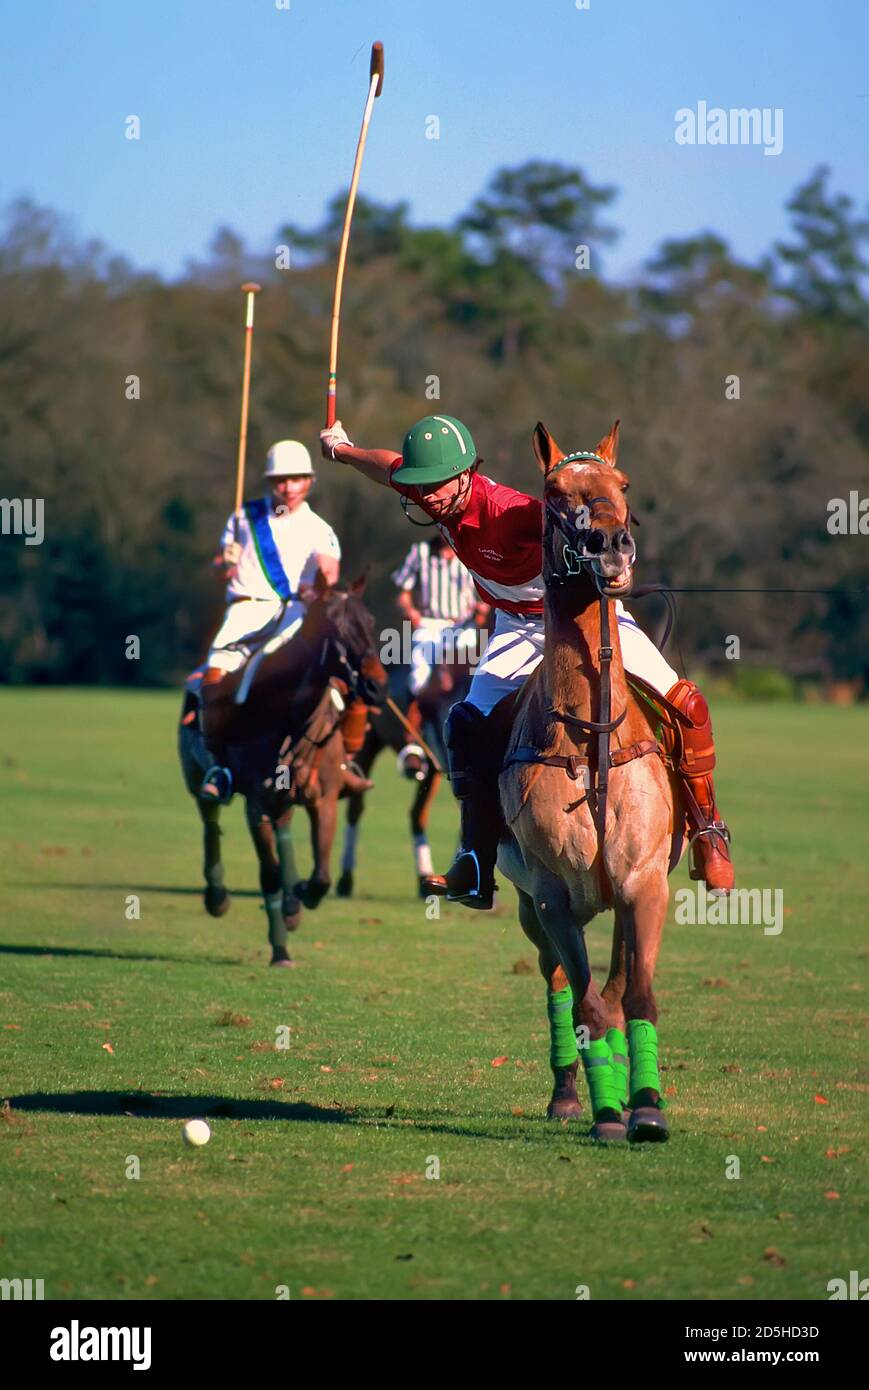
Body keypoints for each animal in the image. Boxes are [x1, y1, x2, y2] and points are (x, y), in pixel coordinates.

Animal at [497, 422, 681, 1139]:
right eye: (554, 492)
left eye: (622, 484)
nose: (611, 544)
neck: (588, 736)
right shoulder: (550, 894)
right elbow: (586, 1007)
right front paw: (605, 1113)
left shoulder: (643, 883)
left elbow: (637, 996)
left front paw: (647, 1107)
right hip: (530, 907)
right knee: (558, 988)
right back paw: (567, 1095)